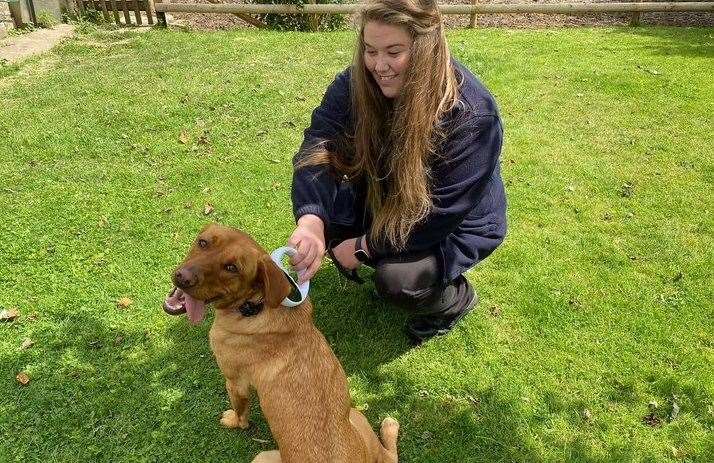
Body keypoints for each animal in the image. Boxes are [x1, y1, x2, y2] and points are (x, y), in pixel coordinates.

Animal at [163, 223, 398, 462]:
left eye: (232, 268)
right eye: (202, 243)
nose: (183, 278)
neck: (255, 305)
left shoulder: (235, 383)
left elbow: (240, 413)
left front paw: (234, 421)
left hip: (264, 455)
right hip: (358, 418)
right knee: (388, 456)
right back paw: (390, 427)